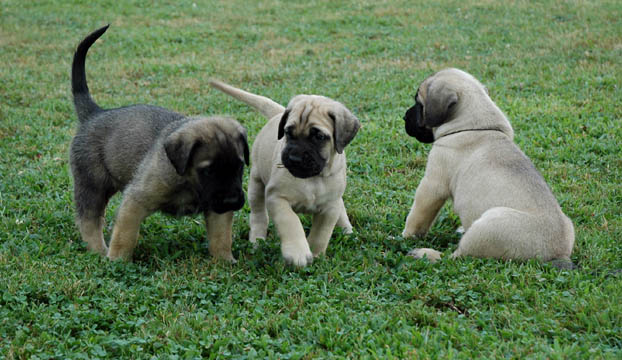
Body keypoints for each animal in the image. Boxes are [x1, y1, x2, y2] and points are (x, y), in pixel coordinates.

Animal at [70, 26, 249, 262]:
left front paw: (224, 262)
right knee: (89, 221)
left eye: (239, 166)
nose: (232, 201)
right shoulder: (135, 201)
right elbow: (124, 236)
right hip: (92, 185)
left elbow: (221, 238)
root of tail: (94, 113)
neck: (188, 181)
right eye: (208, 171)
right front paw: (117, 261)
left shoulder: (217, 209)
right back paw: (99, 251)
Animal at [210, 81, 360, 268]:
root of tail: (278, 113)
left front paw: (316, 254)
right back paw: (257, 240)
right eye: (288, 133)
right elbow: (290, 221)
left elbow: (321, 234)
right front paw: (298, 252)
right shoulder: (277, 197)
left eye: (319, 136)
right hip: (256, 184)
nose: (294, 158)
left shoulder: (330, 206)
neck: (313, 179)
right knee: (259, 215)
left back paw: (346, 229)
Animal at [404, 68, 576, 268]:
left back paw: (424, 253)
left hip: (489, 225)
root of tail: (557, 255)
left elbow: (417, 216)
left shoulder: (432, 185)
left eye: (418, 104)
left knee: (456, 257)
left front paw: (406, 236)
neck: (476, 126)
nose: (404, 117)